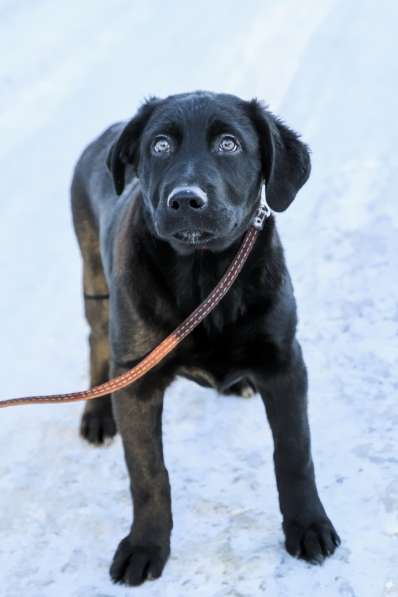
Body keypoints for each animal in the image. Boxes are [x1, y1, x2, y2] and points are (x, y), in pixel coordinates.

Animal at [70, 91, 338, 584]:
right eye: (159, 146)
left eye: (229, 144)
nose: (185, 200)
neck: (204, 274)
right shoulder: (135, 380)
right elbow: (148, 473)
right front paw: (146, 546)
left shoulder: (285, 362)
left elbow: (295, 453)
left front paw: (308, 526)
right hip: (94, 278)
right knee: (96, 341)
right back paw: (97, 414)